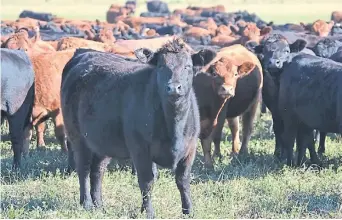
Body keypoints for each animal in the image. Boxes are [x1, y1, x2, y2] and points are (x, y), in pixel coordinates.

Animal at [60, 39, 216, 217]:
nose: (173, 87)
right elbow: (147, 181)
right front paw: (148, 212)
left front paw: (188, 211)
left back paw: (99, 205)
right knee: (84, 169)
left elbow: (183, 181)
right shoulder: (140, 150)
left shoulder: (189, 149)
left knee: (97, 171)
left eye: (187, 66)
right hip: (78, 137)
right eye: (161, 66)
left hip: (102, 141)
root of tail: (82, 54)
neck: (173, 125)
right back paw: (86, 203)